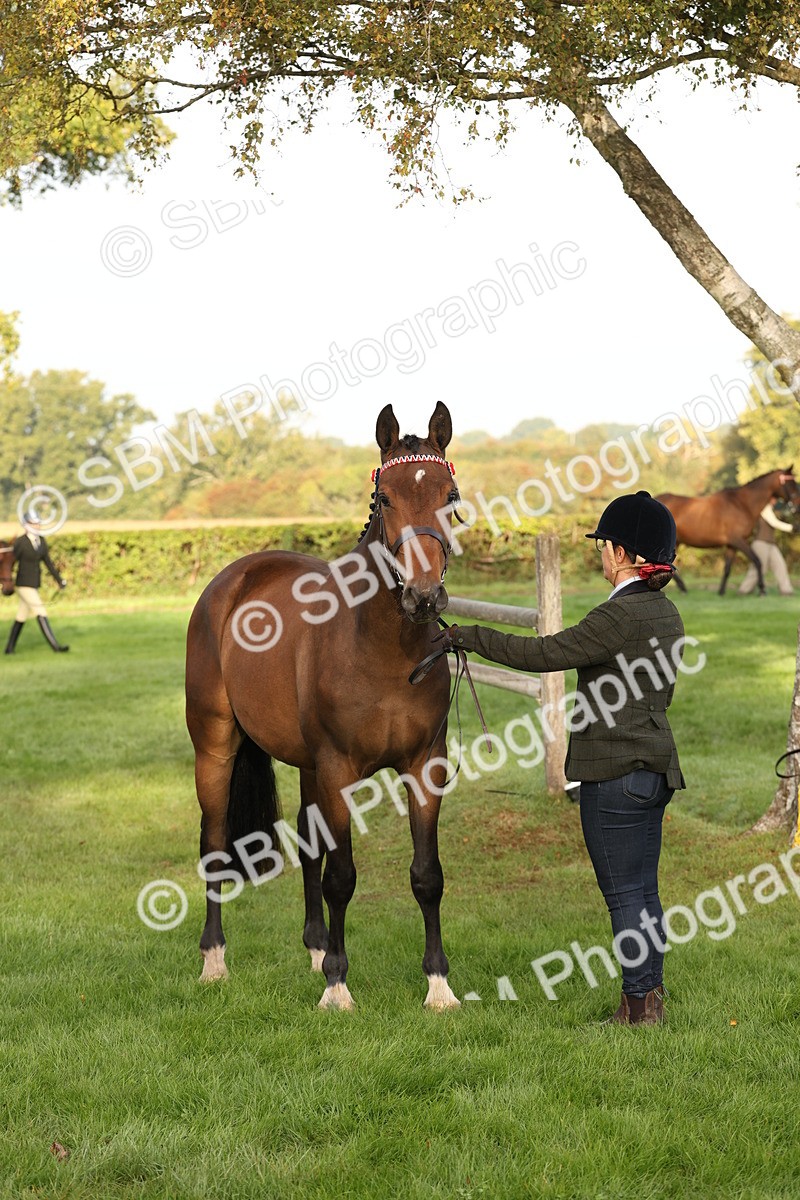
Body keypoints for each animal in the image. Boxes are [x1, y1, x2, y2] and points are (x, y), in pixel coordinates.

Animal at [185, 402, 464, 1010]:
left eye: (450, 495)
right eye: (387, 498)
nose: (424, 595)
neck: (383, 648)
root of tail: (235, 578)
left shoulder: (424, 766)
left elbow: (427, 875)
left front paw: (438, 985)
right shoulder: (339, 770)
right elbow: (342, 877)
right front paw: (339, 986)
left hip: (306, 764)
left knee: (307, 844)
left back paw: (314, 951)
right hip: (215, 747)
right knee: (214, 842)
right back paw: (214, 960)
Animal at [656, 467, 800, 595]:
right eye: (790, 483)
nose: (797, 507)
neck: (742, 504)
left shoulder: (732, 545)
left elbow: (727, 568)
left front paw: (721, 592)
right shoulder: (738, 541)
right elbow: (757, 561)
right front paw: (762, 589)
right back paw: (682, 588)